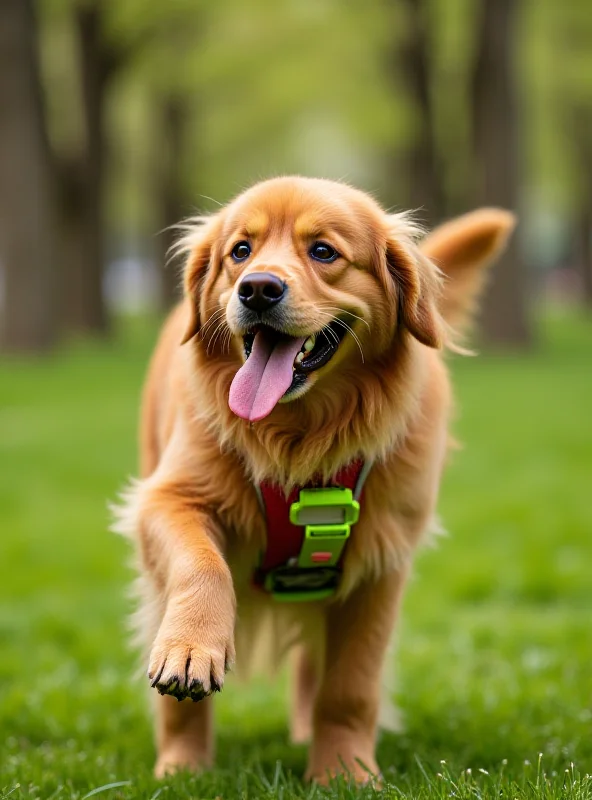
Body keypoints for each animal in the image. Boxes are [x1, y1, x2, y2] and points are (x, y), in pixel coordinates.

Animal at [114, 175, 512, 780]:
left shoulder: (379, 561)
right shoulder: (166, 498)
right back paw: (182, 768)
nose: (257, 289)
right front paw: (190, 649)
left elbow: (350, 685)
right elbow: (202, 566)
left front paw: (345, 771)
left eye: (323, 252)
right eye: (240, 251)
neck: (300, 436)